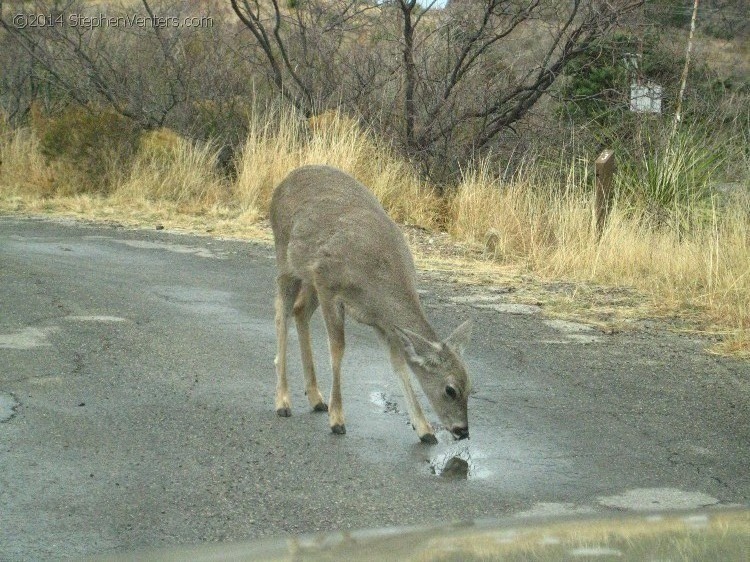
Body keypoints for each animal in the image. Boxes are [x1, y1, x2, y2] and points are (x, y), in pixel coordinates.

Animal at [268, 164, 470, 444]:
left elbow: (399, 364)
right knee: (282, 313)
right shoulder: (329, 285)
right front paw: (337, 419)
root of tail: (283, 182)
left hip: (308, 275)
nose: (463, 431)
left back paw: (316, 398)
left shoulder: (381, 322)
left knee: (299, 311)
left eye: (470, 386)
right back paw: (283, 401)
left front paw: (425, 429)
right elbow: (337, 348)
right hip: (286, 258)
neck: (376, 280)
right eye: (450, 389)